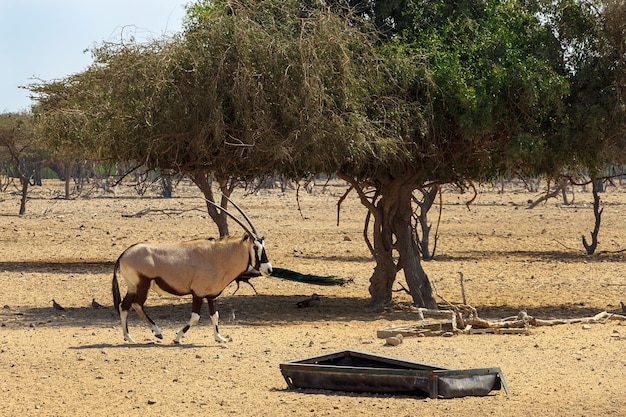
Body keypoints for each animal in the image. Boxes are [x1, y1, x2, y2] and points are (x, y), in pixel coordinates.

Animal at [110, 197, 270, 342]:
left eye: (263, 246)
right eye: (255, 247)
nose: (268, 269)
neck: (217, 255)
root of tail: (124, 254)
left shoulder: (211, 295)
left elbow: (215, 315)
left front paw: (219, 338)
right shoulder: (198, 293)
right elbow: (195, 317)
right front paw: (177, 337)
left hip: (132, 287)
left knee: (124, 306)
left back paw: (129, 337)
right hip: (143, 285)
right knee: (137, 304)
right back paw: (157, 332)